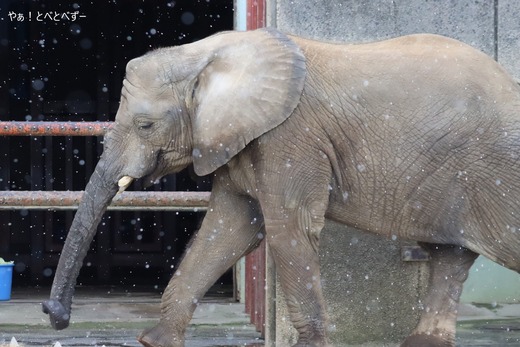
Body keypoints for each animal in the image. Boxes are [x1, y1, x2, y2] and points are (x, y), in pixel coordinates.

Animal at [41, 27, 520, 347]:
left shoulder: (290, 137)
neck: (209, 54)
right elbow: (228, 227)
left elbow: (288, 228)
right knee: (451, 256)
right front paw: (155, 341)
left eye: (144, 124)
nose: (55, 314)